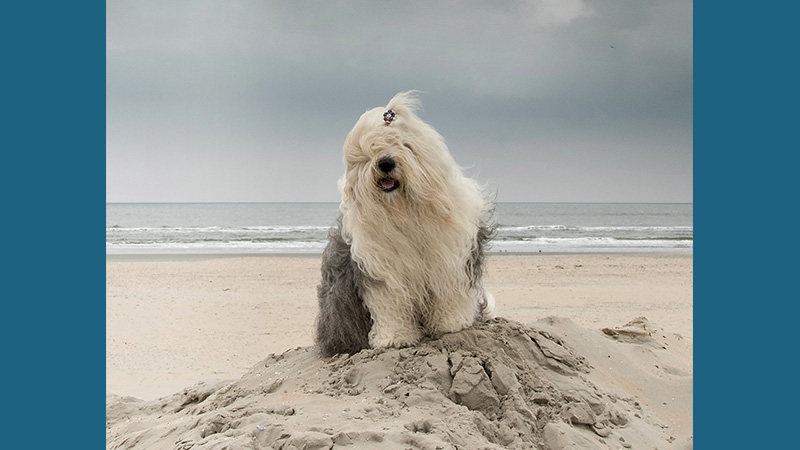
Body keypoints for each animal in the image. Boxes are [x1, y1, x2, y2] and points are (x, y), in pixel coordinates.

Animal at [312, 92, 494, 358]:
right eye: (371, 150)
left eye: (404, 145)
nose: (386, 163)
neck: (405, 210)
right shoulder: (380, 268)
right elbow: (389, 303)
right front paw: (394, 338)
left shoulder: (452, 258)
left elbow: (449, 292)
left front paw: (452, 324)